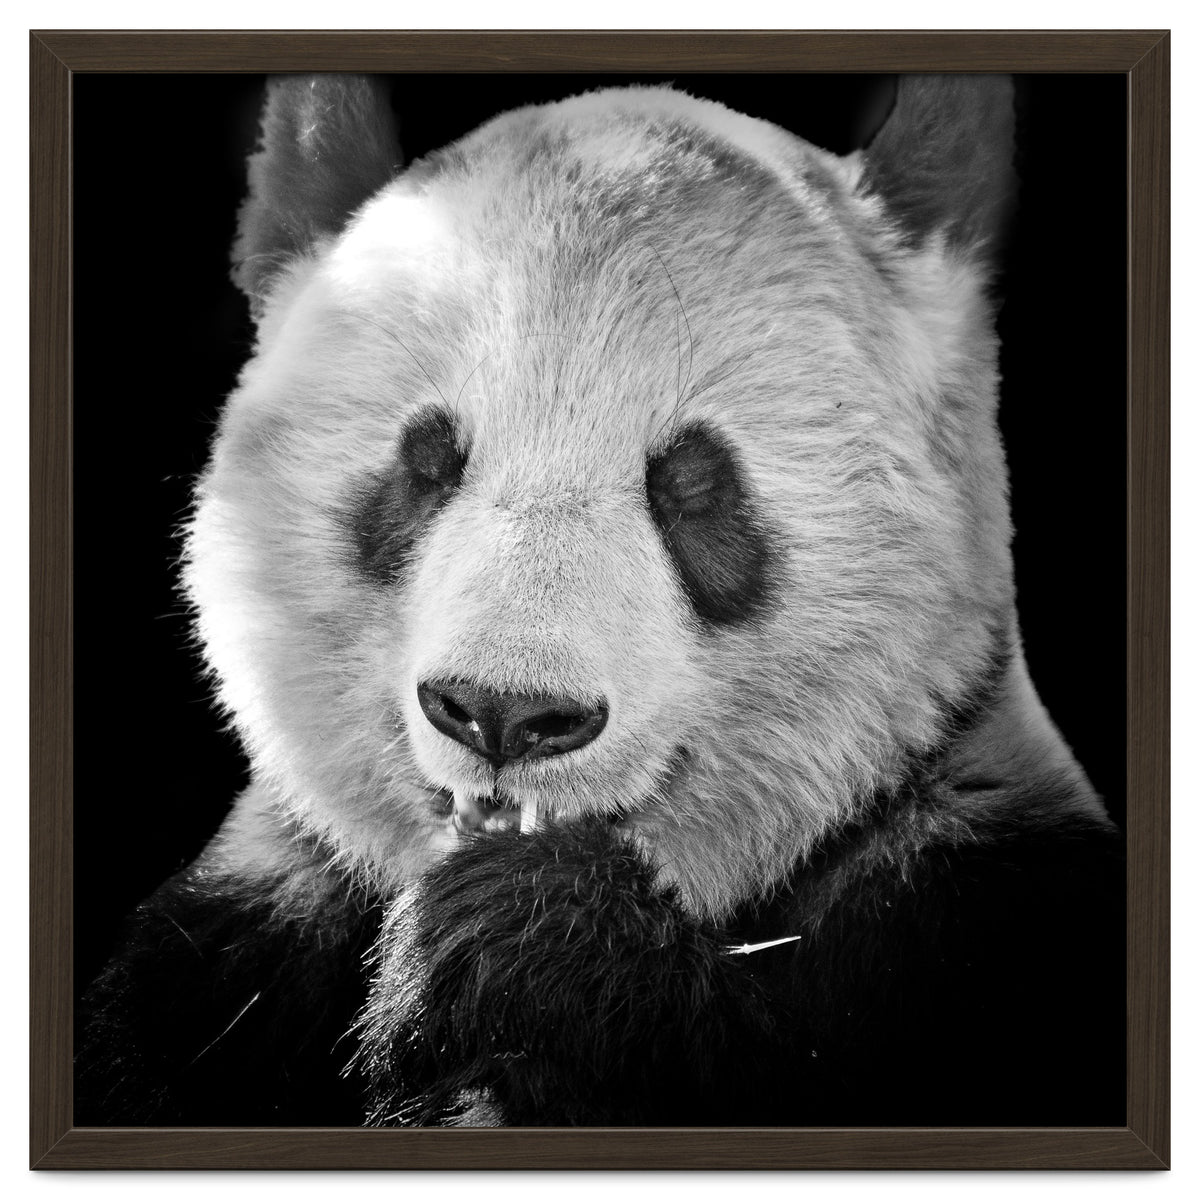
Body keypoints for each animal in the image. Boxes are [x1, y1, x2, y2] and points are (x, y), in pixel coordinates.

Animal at [76, 74, 1124, 1128]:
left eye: (693, 485)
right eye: (427, 462)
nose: (504, 713)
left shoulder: (977, 910)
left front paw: (523, 942)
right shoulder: (230, 952)